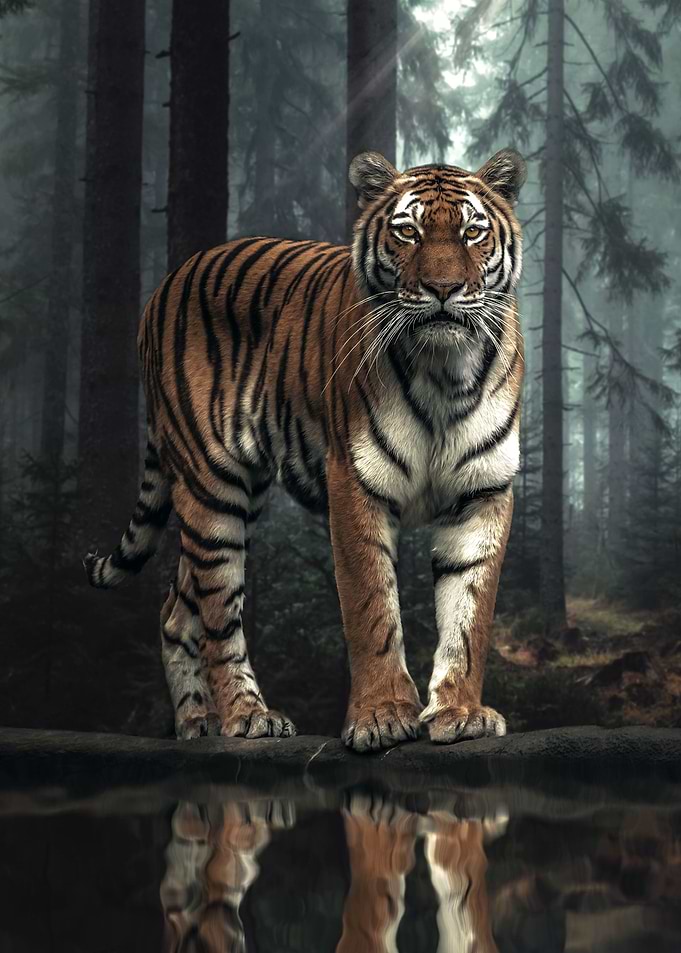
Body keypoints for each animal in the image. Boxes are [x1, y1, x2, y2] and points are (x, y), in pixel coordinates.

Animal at [85, 147, 526, 753]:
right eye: (407, 232)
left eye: (472, 232)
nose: (443, 289)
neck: (444, 370)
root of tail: (166, 281)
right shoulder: (355, 481)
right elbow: (371, 607)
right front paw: (382, 716)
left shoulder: (482, 492)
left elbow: (469, 613)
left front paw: (460, 712)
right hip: (211, 487)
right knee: (217, 613)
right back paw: (246, 717)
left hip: (240, 496)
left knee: (178, 609)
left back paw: (196, 725)